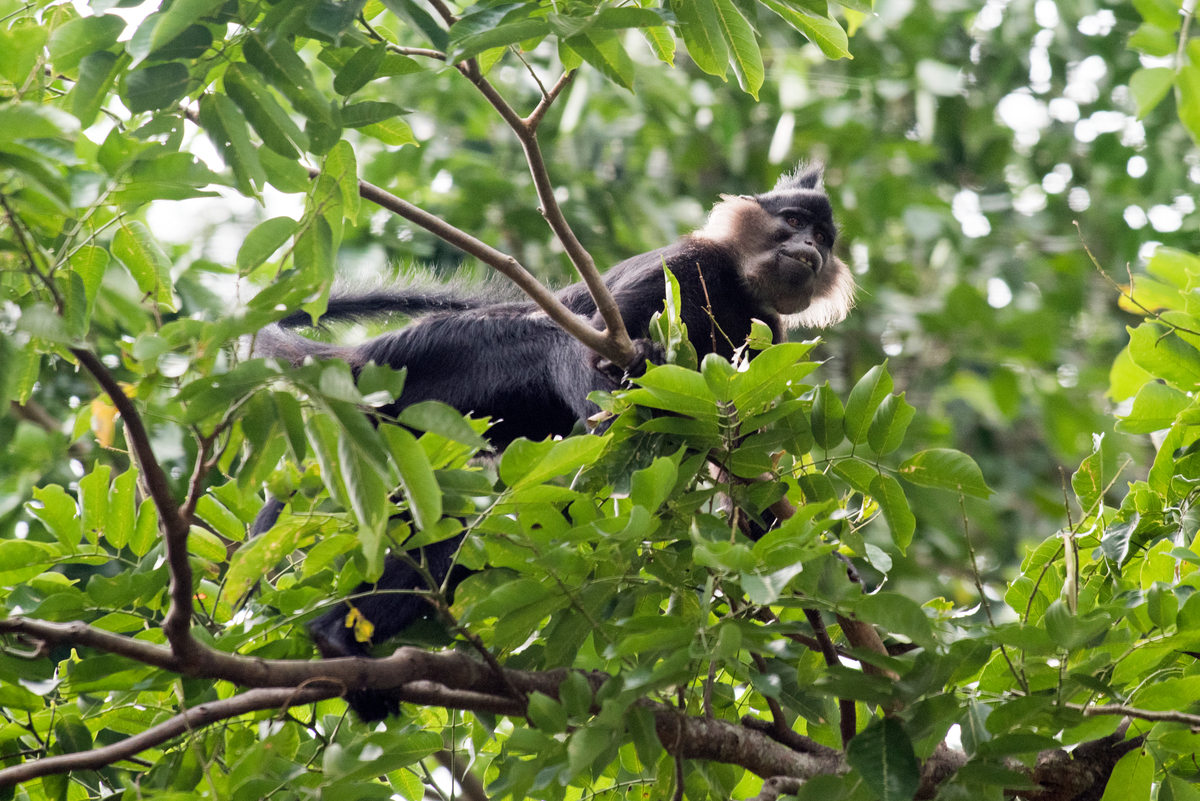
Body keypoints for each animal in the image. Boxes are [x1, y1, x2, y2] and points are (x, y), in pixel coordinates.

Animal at [250, 163, 854, 719]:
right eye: (793, 221)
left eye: (823, 238)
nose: (808, 247)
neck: (734, 285)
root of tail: (363, 361)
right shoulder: (684, 265)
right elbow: (595, 338)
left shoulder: (768, 330)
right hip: (449, 361)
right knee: (555, 356)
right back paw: (337, 639)